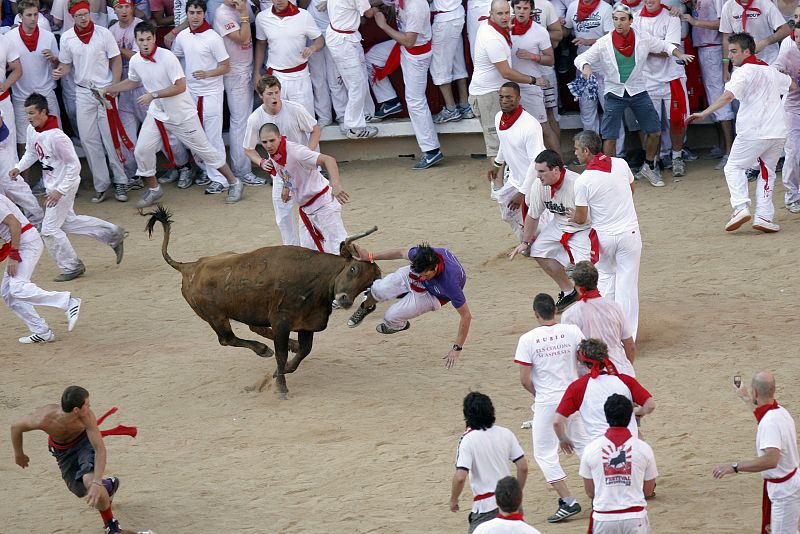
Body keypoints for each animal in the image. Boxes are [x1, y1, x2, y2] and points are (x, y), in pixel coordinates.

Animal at [145, 207, 382, 400]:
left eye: (368, 284)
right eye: (353, 269)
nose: (344, 300)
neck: (315, 280)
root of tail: (189, 267)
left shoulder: (306, 323)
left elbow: (304, 350)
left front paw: (282, 370)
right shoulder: (281, 321)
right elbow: (281, 354)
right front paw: (281, 387)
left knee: (252, 328)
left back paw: (281, 346)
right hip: (215, 316)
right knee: (227, 339)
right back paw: (262, 349)